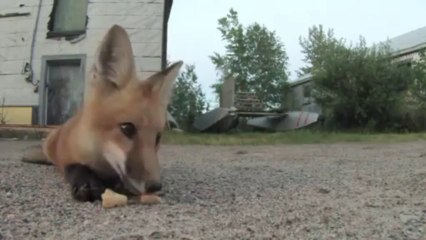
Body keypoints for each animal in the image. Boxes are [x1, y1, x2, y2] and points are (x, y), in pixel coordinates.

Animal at [22, 24, 183, 202]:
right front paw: (86, 183)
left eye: (158, 137)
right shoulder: (67, 153)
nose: (155, 186)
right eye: (127, 128)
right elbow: (75, 166)